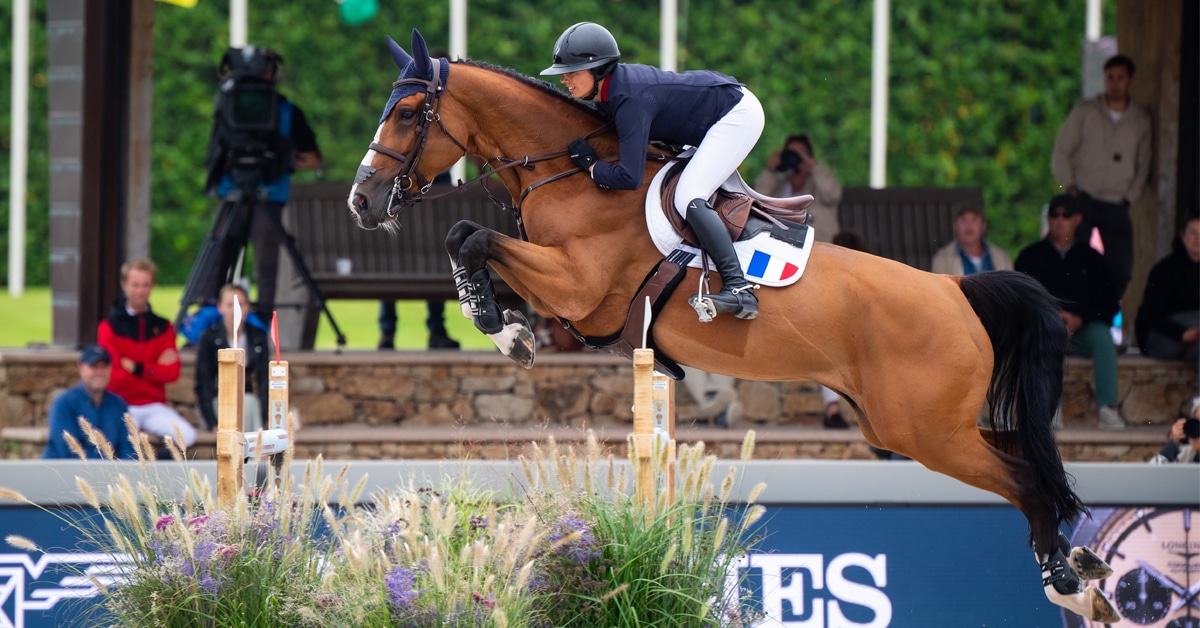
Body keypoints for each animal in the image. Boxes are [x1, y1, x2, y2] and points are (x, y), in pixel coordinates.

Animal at [347, 28, 1119, 623]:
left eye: (408, 112)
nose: (362, 201)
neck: (566, 173)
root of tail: (957, 291)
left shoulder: (581, 289)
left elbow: (471, 235)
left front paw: (502, 328)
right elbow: (467, 238)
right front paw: (500, 321)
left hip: (924, 431)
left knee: (1025, 479)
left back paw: (1069, 582)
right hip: (908, 424)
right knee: (1029, 465)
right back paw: (1080, 566)